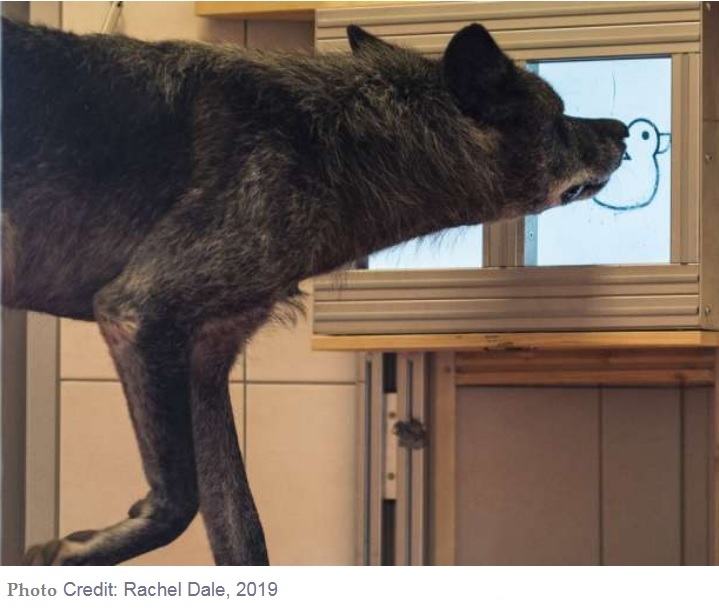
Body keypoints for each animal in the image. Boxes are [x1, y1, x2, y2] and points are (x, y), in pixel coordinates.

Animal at [2, 18, 627, 565]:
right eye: (560, 118)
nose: (623, 131)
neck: (338, 142)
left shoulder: (203, 363)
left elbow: (243, 532)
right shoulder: (139, 312)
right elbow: (179, 500)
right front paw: (71, 551)